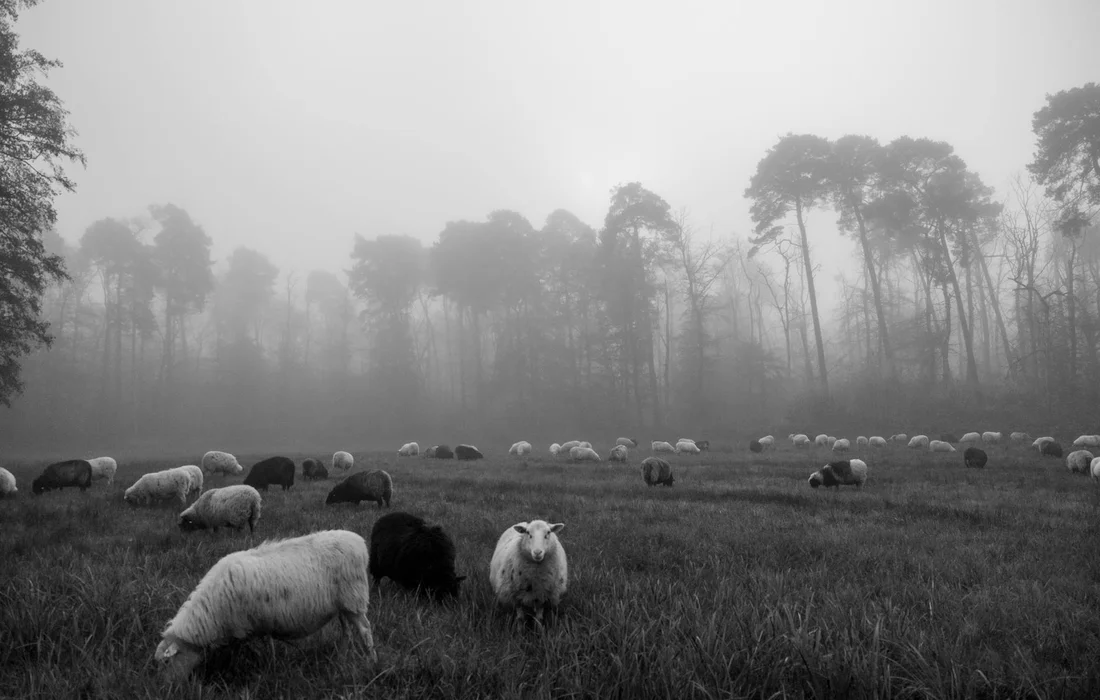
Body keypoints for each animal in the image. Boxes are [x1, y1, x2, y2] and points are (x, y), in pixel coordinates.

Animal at [153, 530, 377, 681]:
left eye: (167, 662)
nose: (166, 688)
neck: (209, 613)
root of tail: (358, 541)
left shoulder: (240, 629)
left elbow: (238, 653)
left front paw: (238, 670)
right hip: (344, 606)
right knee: (346, 631)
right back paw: (342, 656)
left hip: (355, 599)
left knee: (365, 630)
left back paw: (371, 659)